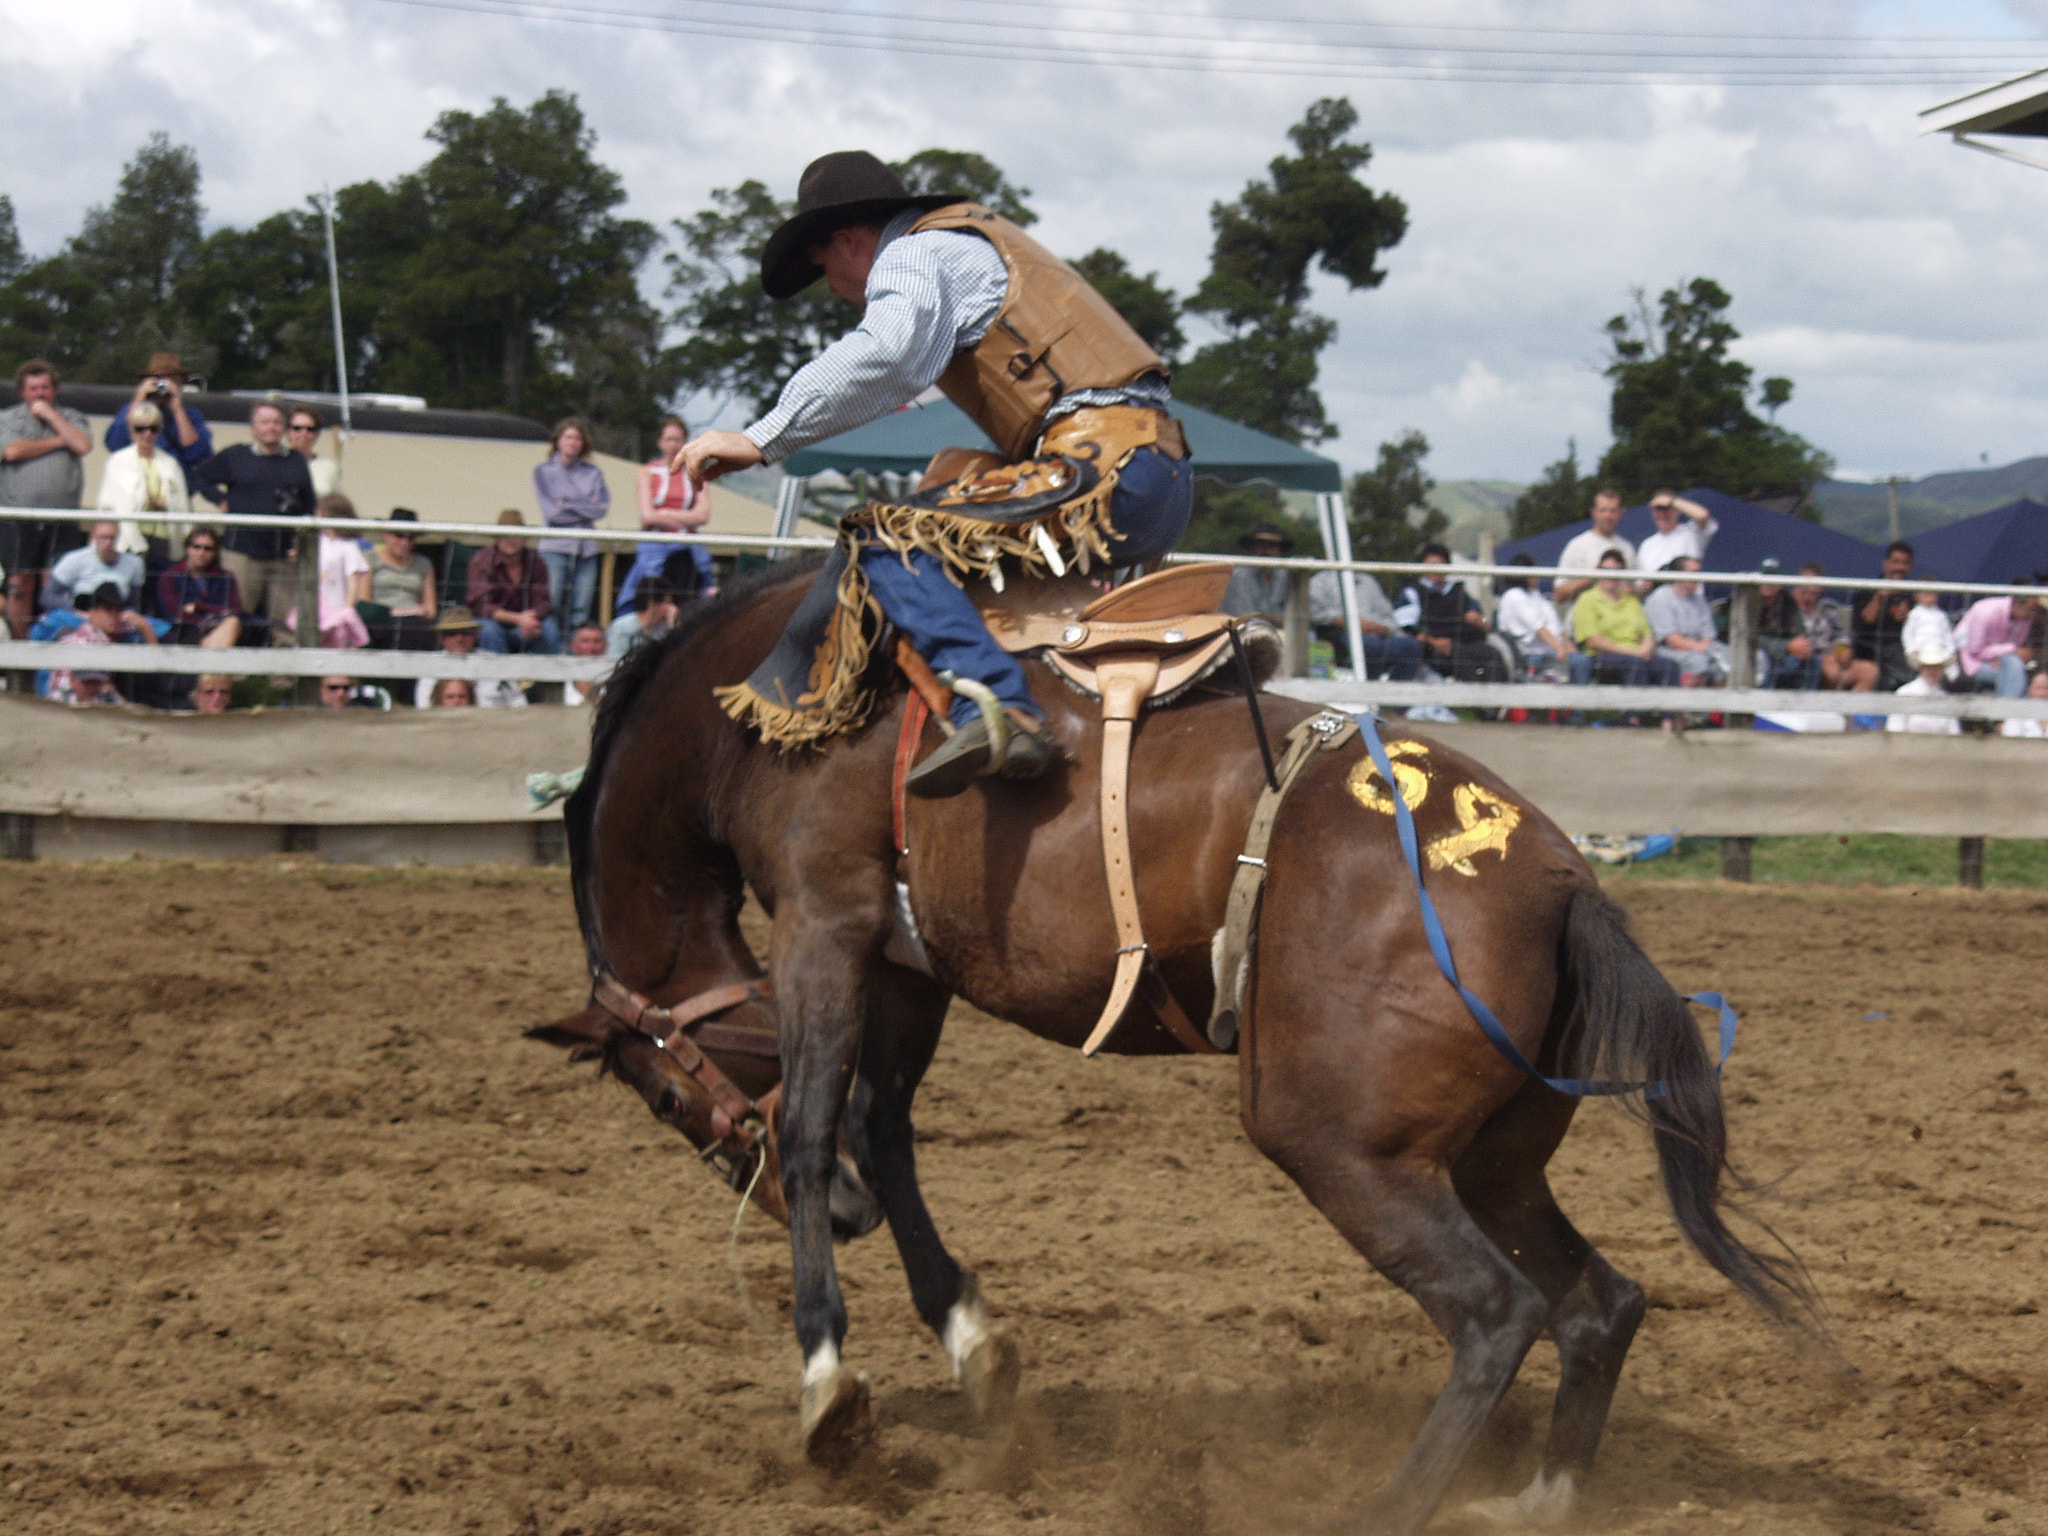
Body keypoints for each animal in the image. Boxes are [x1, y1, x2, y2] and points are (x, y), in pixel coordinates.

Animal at [532, 561, 1810, 1536]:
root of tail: (1554, 876)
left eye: (661, 1096)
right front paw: (971, 1345)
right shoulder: (904, 965)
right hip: (1491, 1158)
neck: (761, 714)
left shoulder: (825, 922)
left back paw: (1386, 1506)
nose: (840, 1223)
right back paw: (1536, 1499)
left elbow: (810, 1130)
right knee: (1599, 1301)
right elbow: (884, 1133)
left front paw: (827, 1386)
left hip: (1336, 1142)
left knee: (1497, 1312)